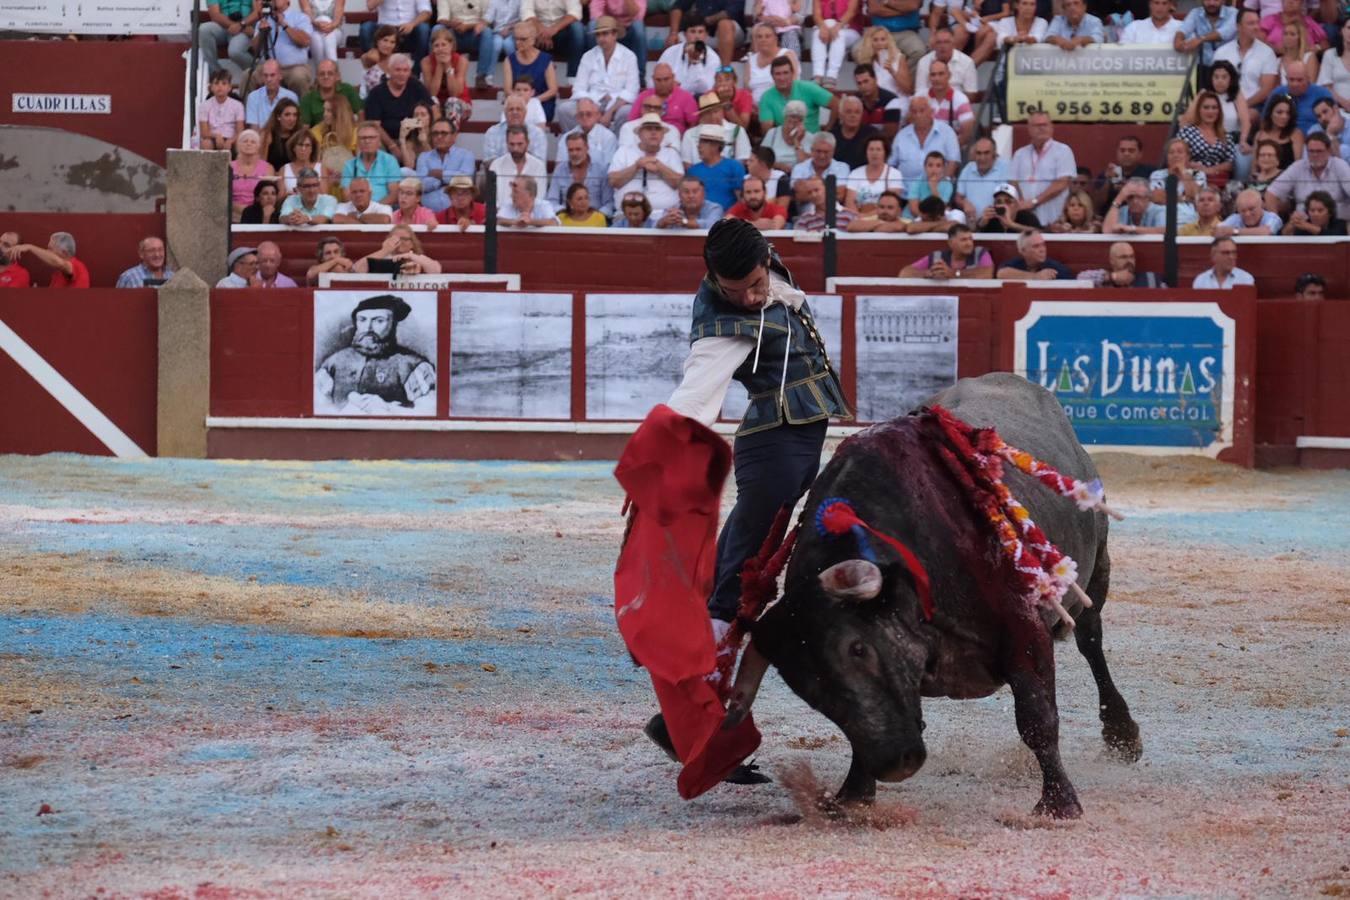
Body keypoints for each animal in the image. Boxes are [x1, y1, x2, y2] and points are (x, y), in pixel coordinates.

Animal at [739, 372, 1139, 814]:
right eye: (805, 685)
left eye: (858, 649)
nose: (896, 763)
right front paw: (854, 794)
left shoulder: (1024, 628)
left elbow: (1037, 718)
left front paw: (1058, 803)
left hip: (1095, 571)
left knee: (1091, 641)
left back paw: (1122, 733)